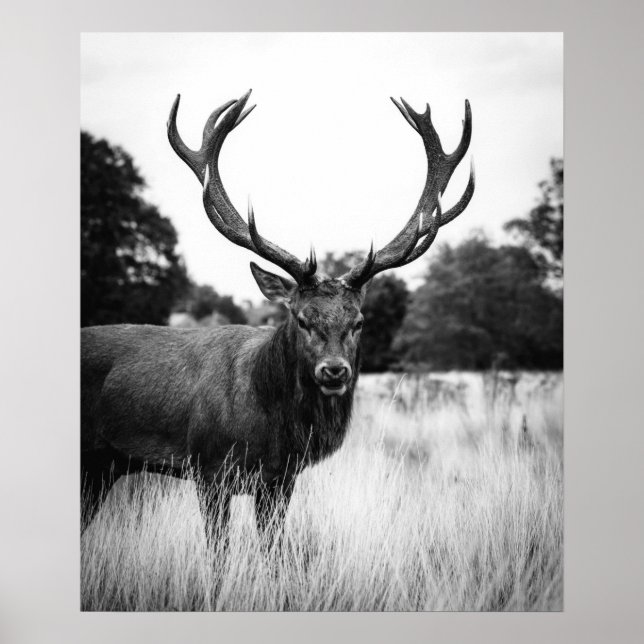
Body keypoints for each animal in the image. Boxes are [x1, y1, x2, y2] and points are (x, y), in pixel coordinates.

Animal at [81, 90, 474, 543]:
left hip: (103, 467)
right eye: (302, 319)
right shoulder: (209, 469)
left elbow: (273, 550)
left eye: (358, 322)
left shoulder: (280, 480)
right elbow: (219, 552)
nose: (334, 371)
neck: (271, 430)